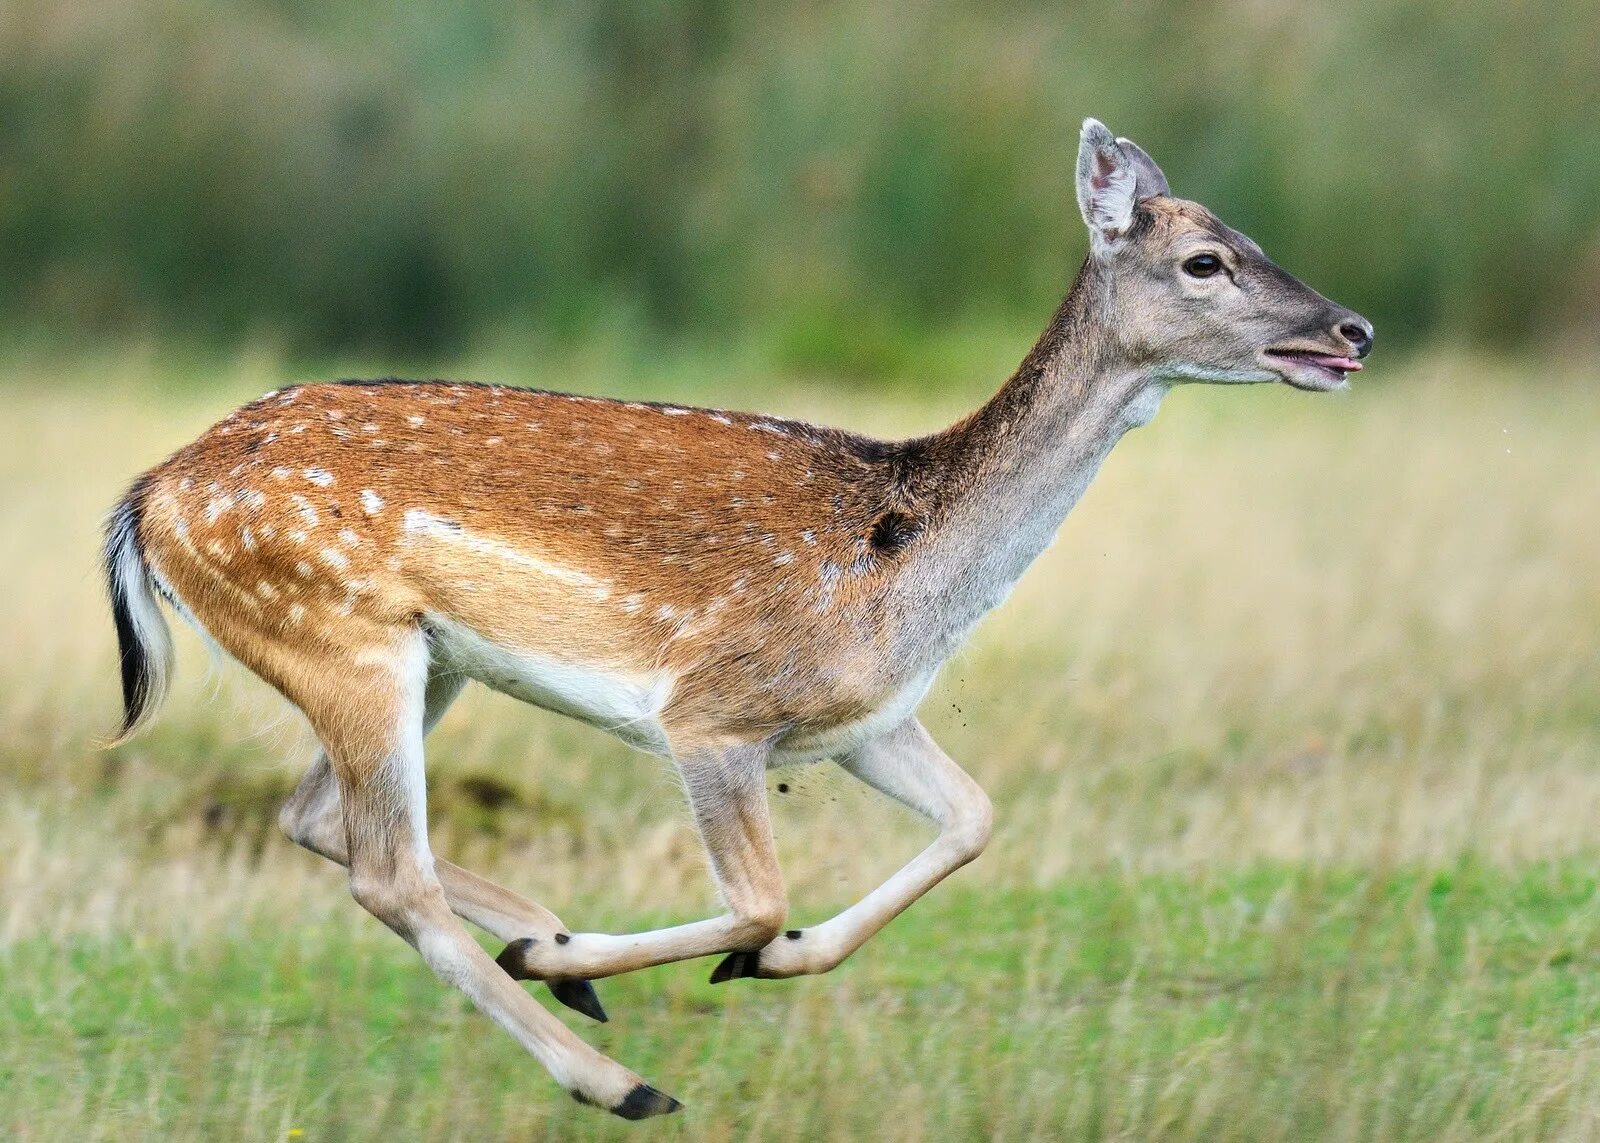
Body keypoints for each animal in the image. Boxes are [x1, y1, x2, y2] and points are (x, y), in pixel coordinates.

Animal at [103, 120, 1376, 1120]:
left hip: (419, 662)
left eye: (1250, 238)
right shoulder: (714, 710)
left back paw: (555, 956)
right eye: (1206, 260)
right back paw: (612, 1071)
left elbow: (973, 818)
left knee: (315, 819)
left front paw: (745, 962)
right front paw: (669, 960)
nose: (1350, 329)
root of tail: (153, 496)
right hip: (338, 634)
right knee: (387, 873)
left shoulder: (862, 720)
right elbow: (759, 898)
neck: (910, 572)